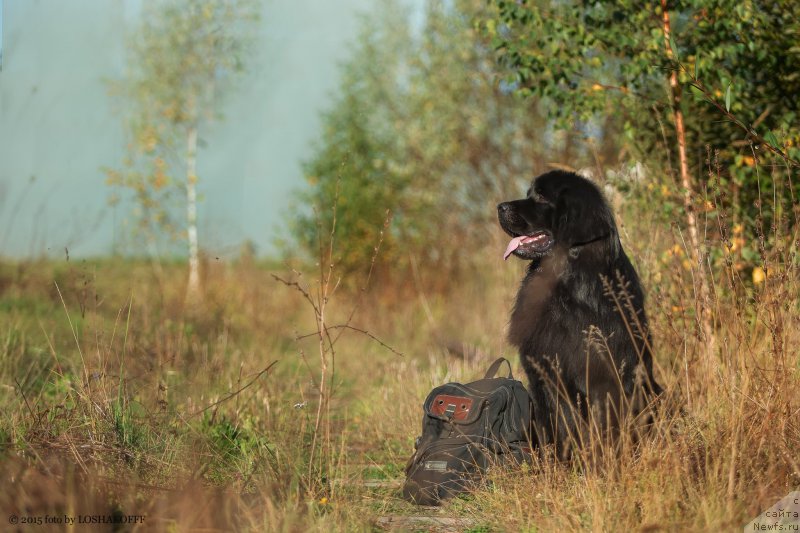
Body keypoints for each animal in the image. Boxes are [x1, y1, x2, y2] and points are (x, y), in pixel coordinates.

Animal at [500, 170, 664, 458]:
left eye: (541, 197)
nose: (499, 207)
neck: (567, 290)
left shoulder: (602, 379)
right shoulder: (547, 378)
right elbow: (563, 427)